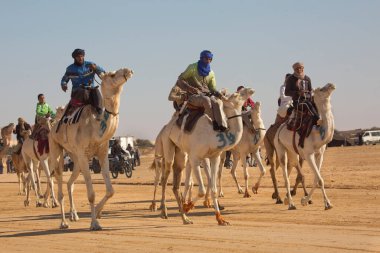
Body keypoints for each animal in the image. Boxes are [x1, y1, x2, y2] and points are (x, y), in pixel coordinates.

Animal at [49, 68, 134, 230]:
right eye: (112, 75)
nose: (128, 70)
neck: (95, 126)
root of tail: (52, 124)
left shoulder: (102, 154)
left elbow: (111, 190)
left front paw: (98, 213)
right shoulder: (83, 155)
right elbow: (91, 194)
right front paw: (94, 223)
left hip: (74, 157)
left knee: (70, 183)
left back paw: (74, 215)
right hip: (57, 148)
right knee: (60, 181)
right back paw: (63, 222)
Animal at [159, 87, 254, 225]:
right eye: (236, 95)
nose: (250, 89)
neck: (212, 136)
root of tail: (166, 126)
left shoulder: (214, 157)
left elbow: (213, 188)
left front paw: (220, 219)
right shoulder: (195, 157)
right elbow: (202, 190)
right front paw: (187, 206)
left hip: (181, 153)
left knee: (176, 185)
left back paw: (185, 218)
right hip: (168, 143)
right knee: (165, 179)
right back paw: (164, 212)